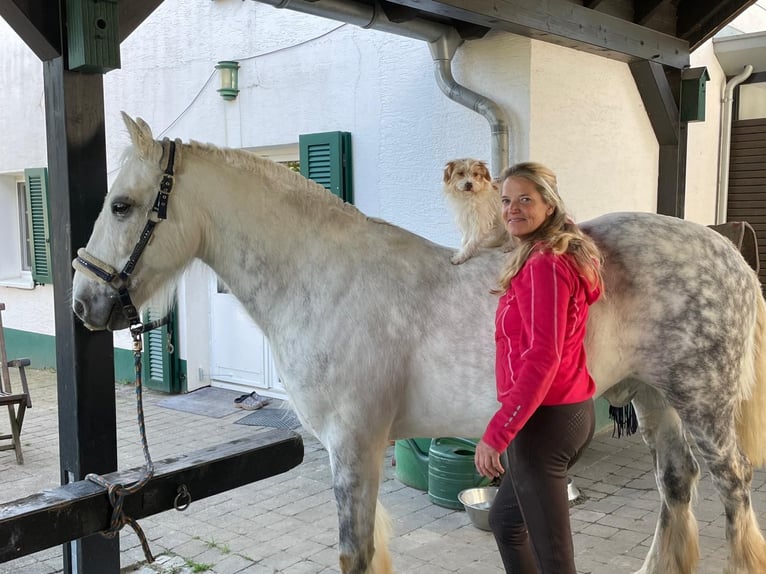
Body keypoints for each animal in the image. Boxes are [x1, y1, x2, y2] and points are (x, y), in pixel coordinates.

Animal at [70, 113, 766, 574]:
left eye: (122, 204)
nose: (82, 302)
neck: (324, 276)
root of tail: (727, 251)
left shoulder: (353, 446)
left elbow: (354, 553)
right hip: (654, 398)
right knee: (676, 486)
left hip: (702, 403)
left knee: (733, 492)